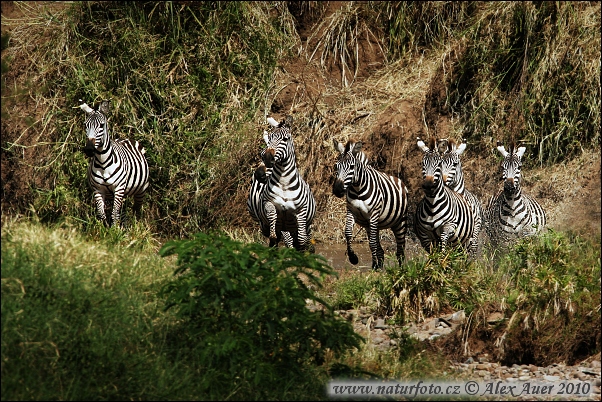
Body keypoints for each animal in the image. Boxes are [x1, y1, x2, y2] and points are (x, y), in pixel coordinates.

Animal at [78, 99, 148, 228]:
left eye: (101, 125)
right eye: (85, 125)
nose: (89, 149)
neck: (102, 163)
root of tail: (125, 138)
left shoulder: (119, 188)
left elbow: (114, 214)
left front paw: (114, 230)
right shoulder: (98, 190)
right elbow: (102, 214)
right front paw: (104, 230)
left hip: (141, 189)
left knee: (136, 209)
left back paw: (135, 227)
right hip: (116, 194)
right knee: (122, 211)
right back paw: (124, 228)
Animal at [328, 138, 408, 270]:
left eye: (351, 167)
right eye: (336, 166)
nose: (337, 190)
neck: (358, 189)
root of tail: (399, 180)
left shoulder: (374, 214)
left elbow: (372, 243)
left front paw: (374, 263)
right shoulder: (351, 211)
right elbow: (348, 233)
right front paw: (353, 258)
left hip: (399, 222)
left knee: (400, 250)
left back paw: (401, 269)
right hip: (372, 224)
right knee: (380, 248)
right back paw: (379, 266)